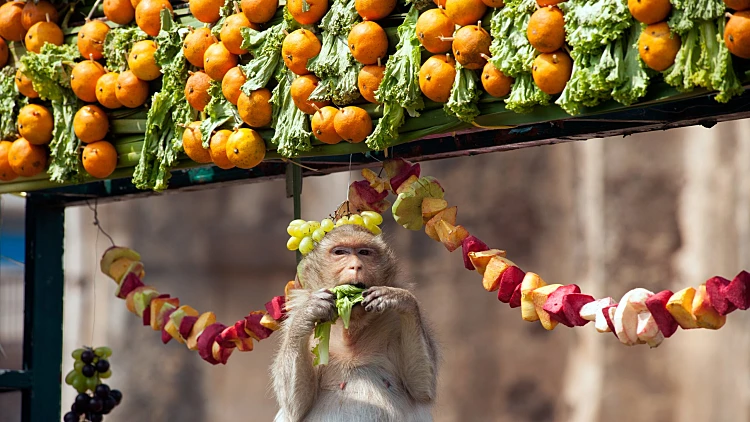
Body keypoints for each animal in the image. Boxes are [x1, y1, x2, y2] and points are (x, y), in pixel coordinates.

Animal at [272, 224, 438, 422]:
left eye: (364, 252)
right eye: (340, 252)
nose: (356, 266)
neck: (350, 330)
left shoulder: (395, 322)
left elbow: (421, 387)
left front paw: (399, 297)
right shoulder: (294, 320)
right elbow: (296, 406)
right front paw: (310, 310)